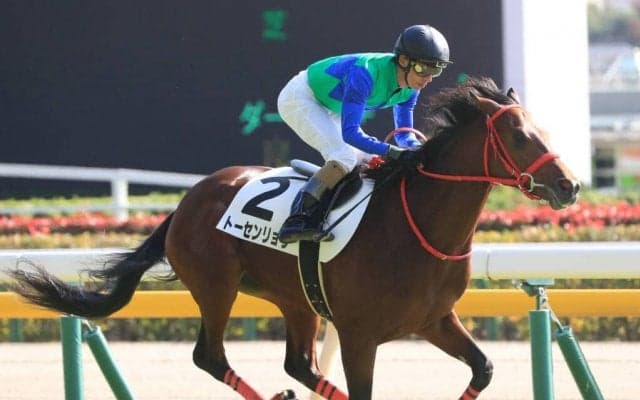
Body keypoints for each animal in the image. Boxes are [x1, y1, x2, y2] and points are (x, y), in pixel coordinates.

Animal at [10, 77, 580, 400]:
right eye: (519, 136)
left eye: (542, 131)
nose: (569, 185)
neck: (416, 226)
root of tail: (187, 201)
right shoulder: (359, 336)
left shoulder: (435, 320)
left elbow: (483, 369)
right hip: (216, 286)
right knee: (210, 358)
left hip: (297, 299)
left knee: (297, 364)